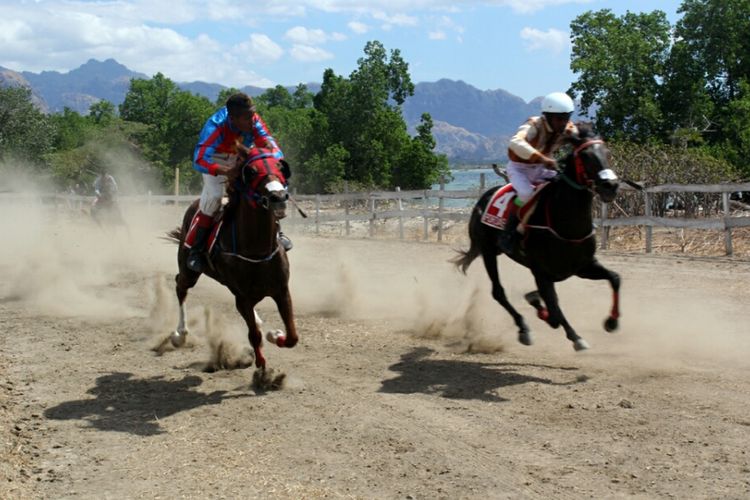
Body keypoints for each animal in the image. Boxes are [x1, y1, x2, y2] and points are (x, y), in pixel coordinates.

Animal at [167, 151, 300, 372]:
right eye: (252, 171)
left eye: (280, 167)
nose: (279, 197)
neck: (257, 250)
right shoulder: (242, 298)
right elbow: (254, 335)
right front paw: (262, 368)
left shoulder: (281, 290)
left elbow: (292, 336)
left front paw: (276, 335)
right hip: (189, 270)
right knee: (180, 286)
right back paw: (180, 334)